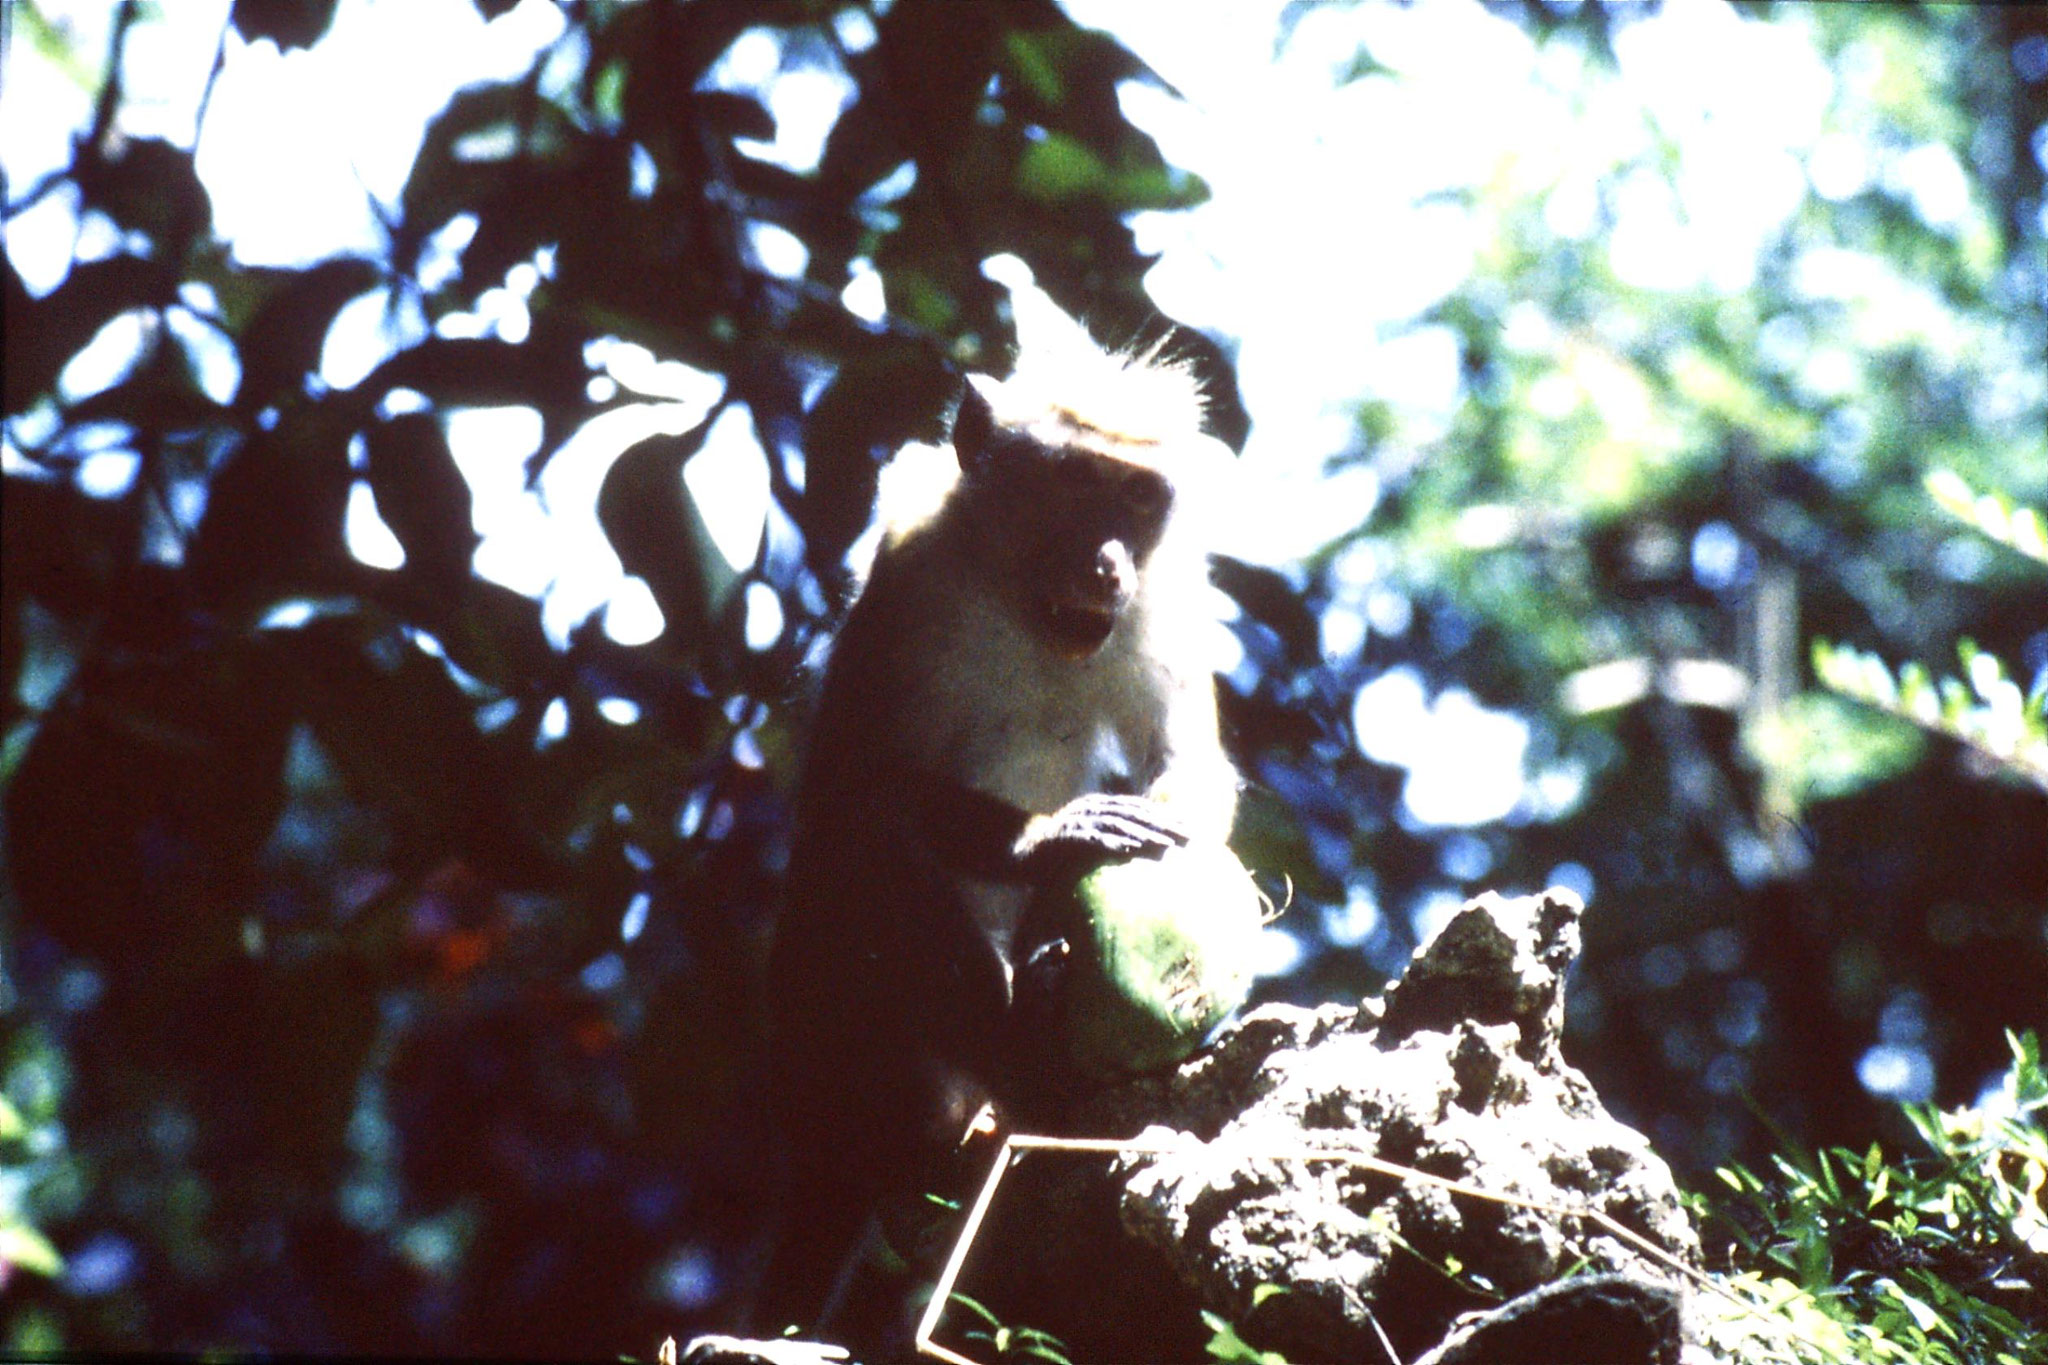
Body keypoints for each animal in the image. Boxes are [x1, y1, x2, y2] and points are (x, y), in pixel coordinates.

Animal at [761, 315, 1236, 1342]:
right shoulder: (906, 572)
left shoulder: (1166, 600)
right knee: (863, 847)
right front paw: (1049, 837)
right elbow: (853, 789)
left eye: (1138, 497)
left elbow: (1190, 764)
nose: (1106, 561)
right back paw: (1016, 1055)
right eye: (1076, 482)